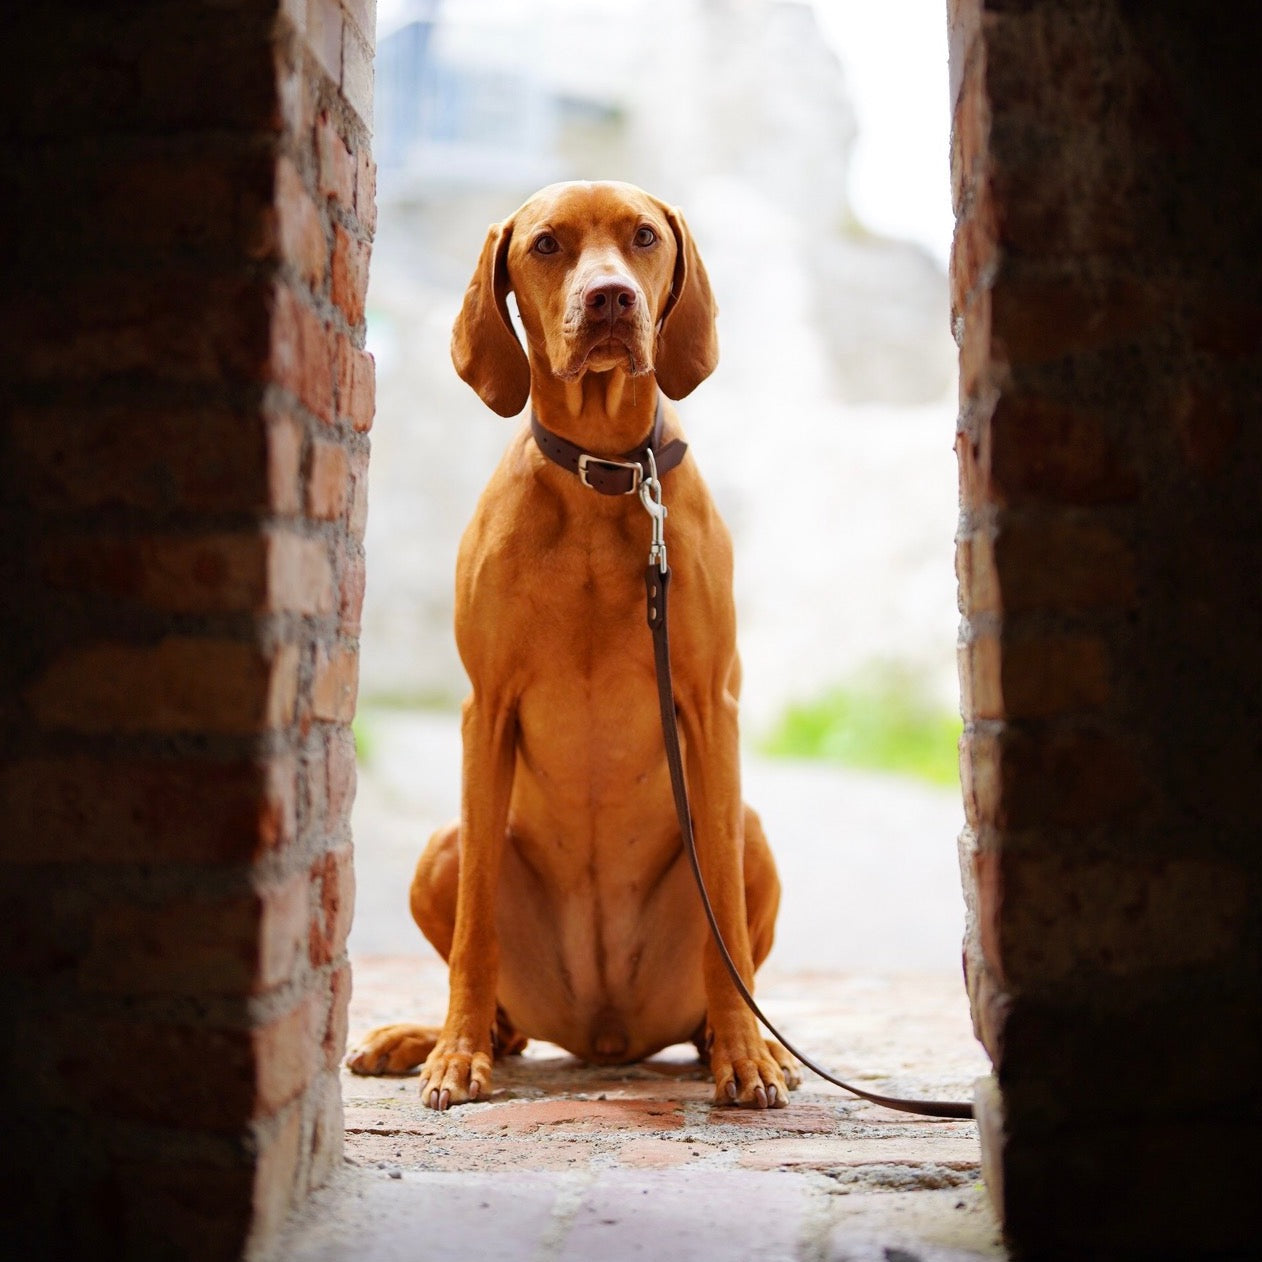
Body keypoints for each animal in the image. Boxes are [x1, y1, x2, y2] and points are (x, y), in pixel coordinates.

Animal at [345, 182, 797, 1110]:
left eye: (644, 236)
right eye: (547, 244)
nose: (611, 299)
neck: (605, 476)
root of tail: (604, 1033)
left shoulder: (710, 708)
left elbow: (727, 927)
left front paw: (746, 1056)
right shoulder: (486, 711)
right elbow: (476, 924)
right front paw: (455, 1054)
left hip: (751, 835)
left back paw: (728, 1041)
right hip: (442, 848)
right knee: (506, 1014)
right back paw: (430, 1036)